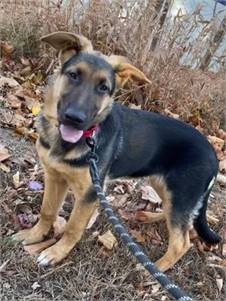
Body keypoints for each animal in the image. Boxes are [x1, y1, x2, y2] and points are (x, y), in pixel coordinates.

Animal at [12, 31, 221, 270]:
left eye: (103, 88)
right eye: (73, 75)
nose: (75, 118)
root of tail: (215, 156)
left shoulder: (90, 193)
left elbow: (73, 228)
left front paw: (56, 252)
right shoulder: (55, 177)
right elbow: (47, 211)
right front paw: (33, 235)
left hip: (180, 194)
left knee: (181, 242)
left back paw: (152, 269)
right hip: (164, 186)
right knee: (182, 219)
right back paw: (149, 217)